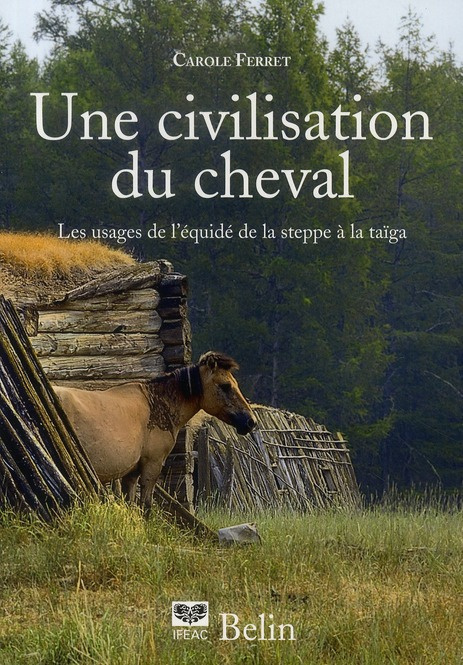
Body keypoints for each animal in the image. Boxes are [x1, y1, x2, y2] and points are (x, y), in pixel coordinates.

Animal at [54, 351, 256, 511]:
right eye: (225, 385)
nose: (251, 421)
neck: (155, 403)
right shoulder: (152, 465)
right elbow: (146, 506)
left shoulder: (132, 473)